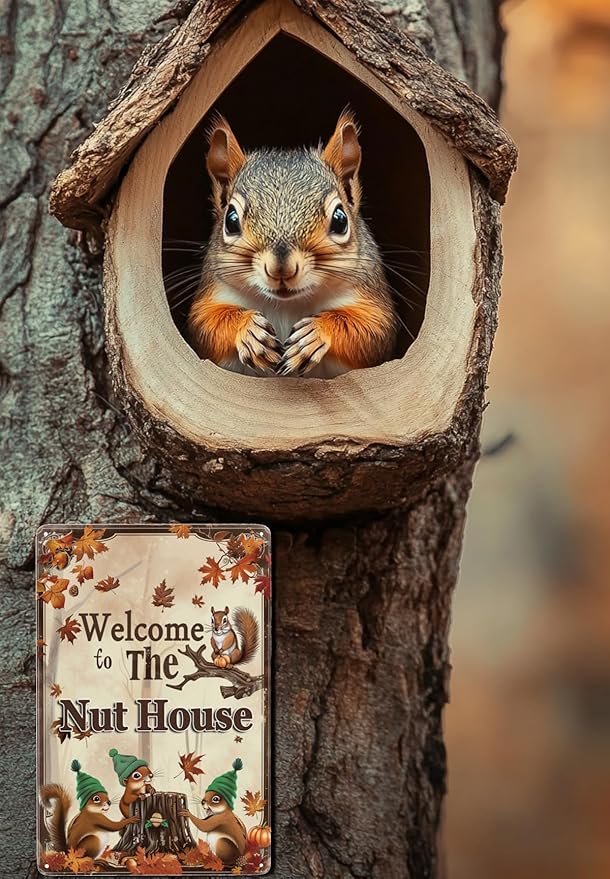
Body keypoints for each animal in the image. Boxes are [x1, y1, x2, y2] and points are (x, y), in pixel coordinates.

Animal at [187, 110, 397, 378]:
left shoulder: (370, 298)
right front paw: (250, 332)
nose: (281, 269)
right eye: (231, 220)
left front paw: (315, 334)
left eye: (340, 220)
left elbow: (373, 332)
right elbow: (205, 324)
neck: (287, 305)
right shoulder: (213, 292)